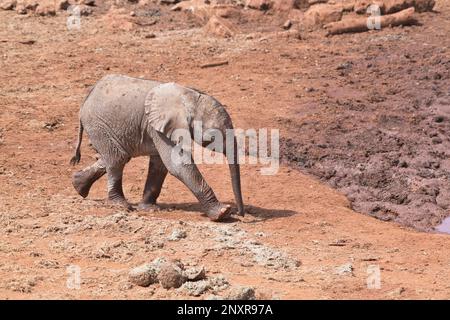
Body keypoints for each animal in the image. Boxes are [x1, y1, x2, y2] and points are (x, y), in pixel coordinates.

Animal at [70, 74, 244, 222]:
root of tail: (89, 94)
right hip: (97, 124)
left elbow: (160, 166)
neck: (190, 97)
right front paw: (223, 213)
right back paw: (120, 205)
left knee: (115, 156)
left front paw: (150, 209)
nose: (240, 213)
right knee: (116, 159)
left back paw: (78, 185)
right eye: (214, 135)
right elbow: (177, 164)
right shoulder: (159, 127)